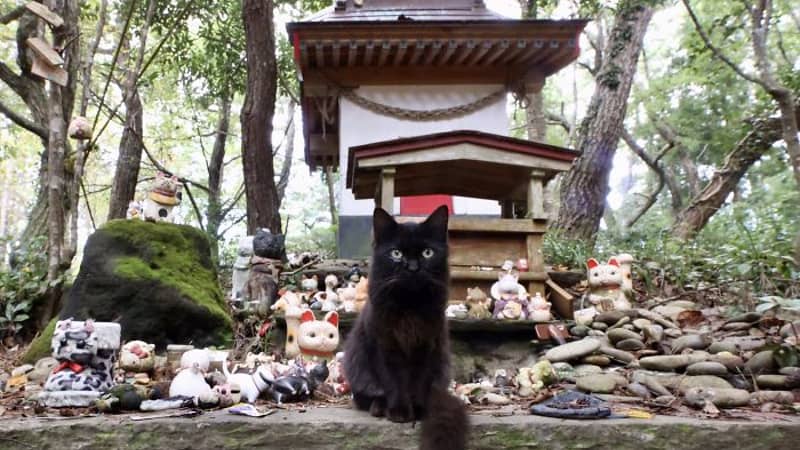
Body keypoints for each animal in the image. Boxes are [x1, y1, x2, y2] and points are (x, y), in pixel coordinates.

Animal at [344, 207, 468, 450]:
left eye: (427, 253)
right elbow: (394, 381)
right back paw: (379, 407)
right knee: (367, 396)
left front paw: (418, 410)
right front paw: (399, 412)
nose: (412, 267)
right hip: (359, 367)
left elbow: (418, 381)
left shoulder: (426, 346)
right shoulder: (385, 346)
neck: (410, 306)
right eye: (396, 253)